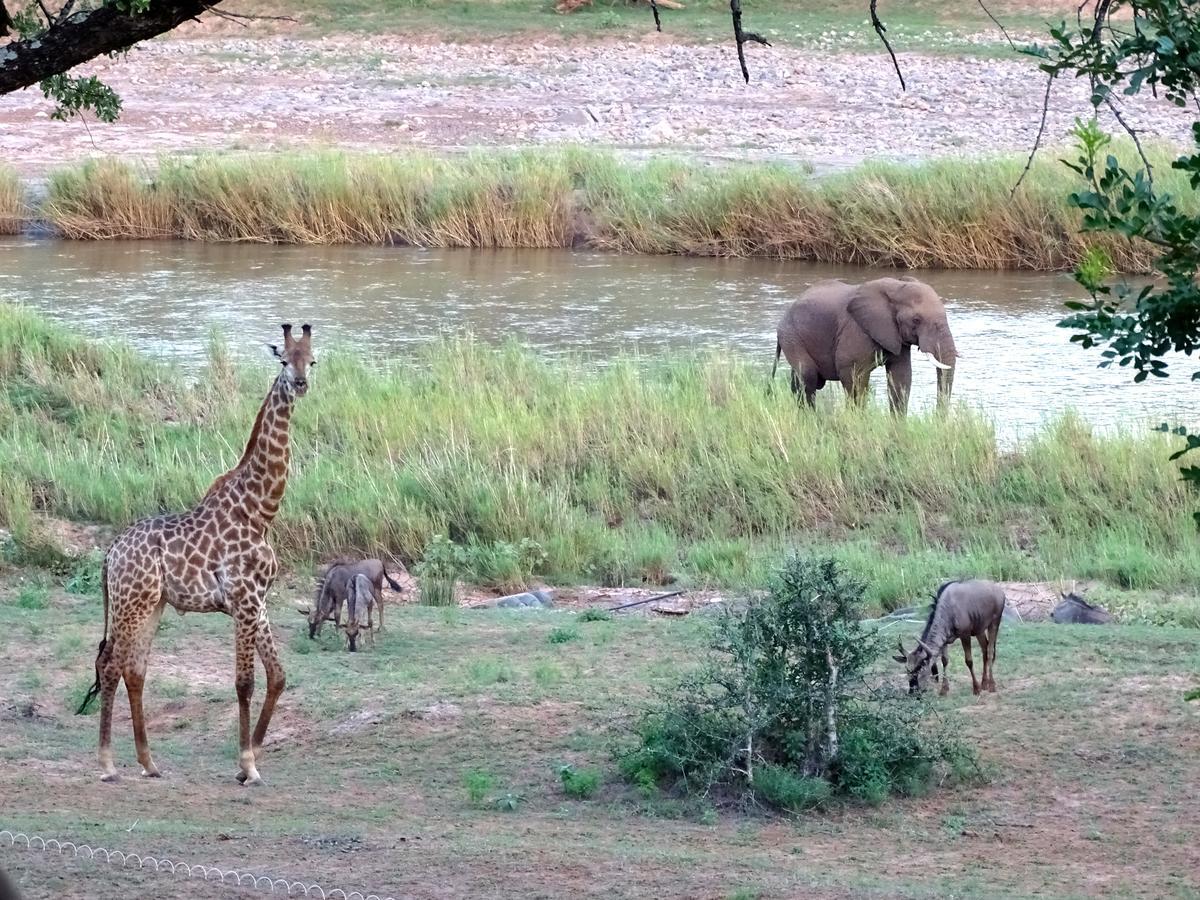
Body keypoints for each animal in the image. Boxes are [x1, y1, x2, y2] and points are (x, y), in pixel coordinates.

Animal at [76, 321, 314, 782]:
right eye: (283, 360)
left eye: (312, 360)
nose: (300, 383)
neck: (260, 510)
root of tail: (110, 553)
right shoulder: (244, 599)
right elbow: (245, 682)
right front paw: (247, 765)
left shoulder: (257, 602)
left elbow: (278, 676)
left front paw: (252, 755)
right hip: (131, 604)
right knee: (111, 665)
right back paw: (108, 764)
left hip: (151, 605)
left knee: (134, 669)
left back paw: (149, 763)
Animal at [772, 274, 960, 415]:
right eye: (916, 320)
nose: (938, 420)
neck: (896, 287)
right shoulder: (856, 329)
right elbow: (853, 374)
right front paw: (858, 420)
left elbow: (901, 376)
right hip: (791, 335)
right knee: (808, 376)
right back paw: (809, 417)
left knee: (798, 380)